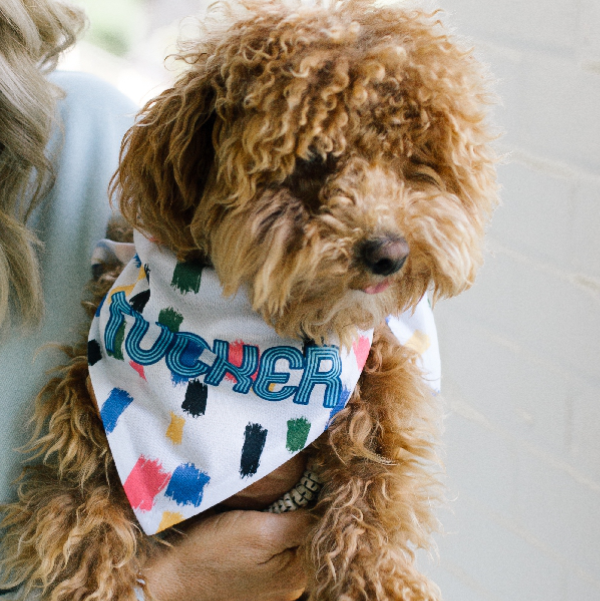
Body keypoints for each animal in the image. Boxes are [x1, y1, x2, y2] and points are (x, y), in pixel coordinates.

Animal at [0, 2, 496, 596]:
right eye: (313, 160)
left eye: (414, 162)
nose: (390, 252)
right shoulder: (89, 414)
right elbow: (79, 507)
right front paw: (98, 573)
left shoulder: (377, 393)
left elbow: (374, 486)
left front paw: (375, 574)